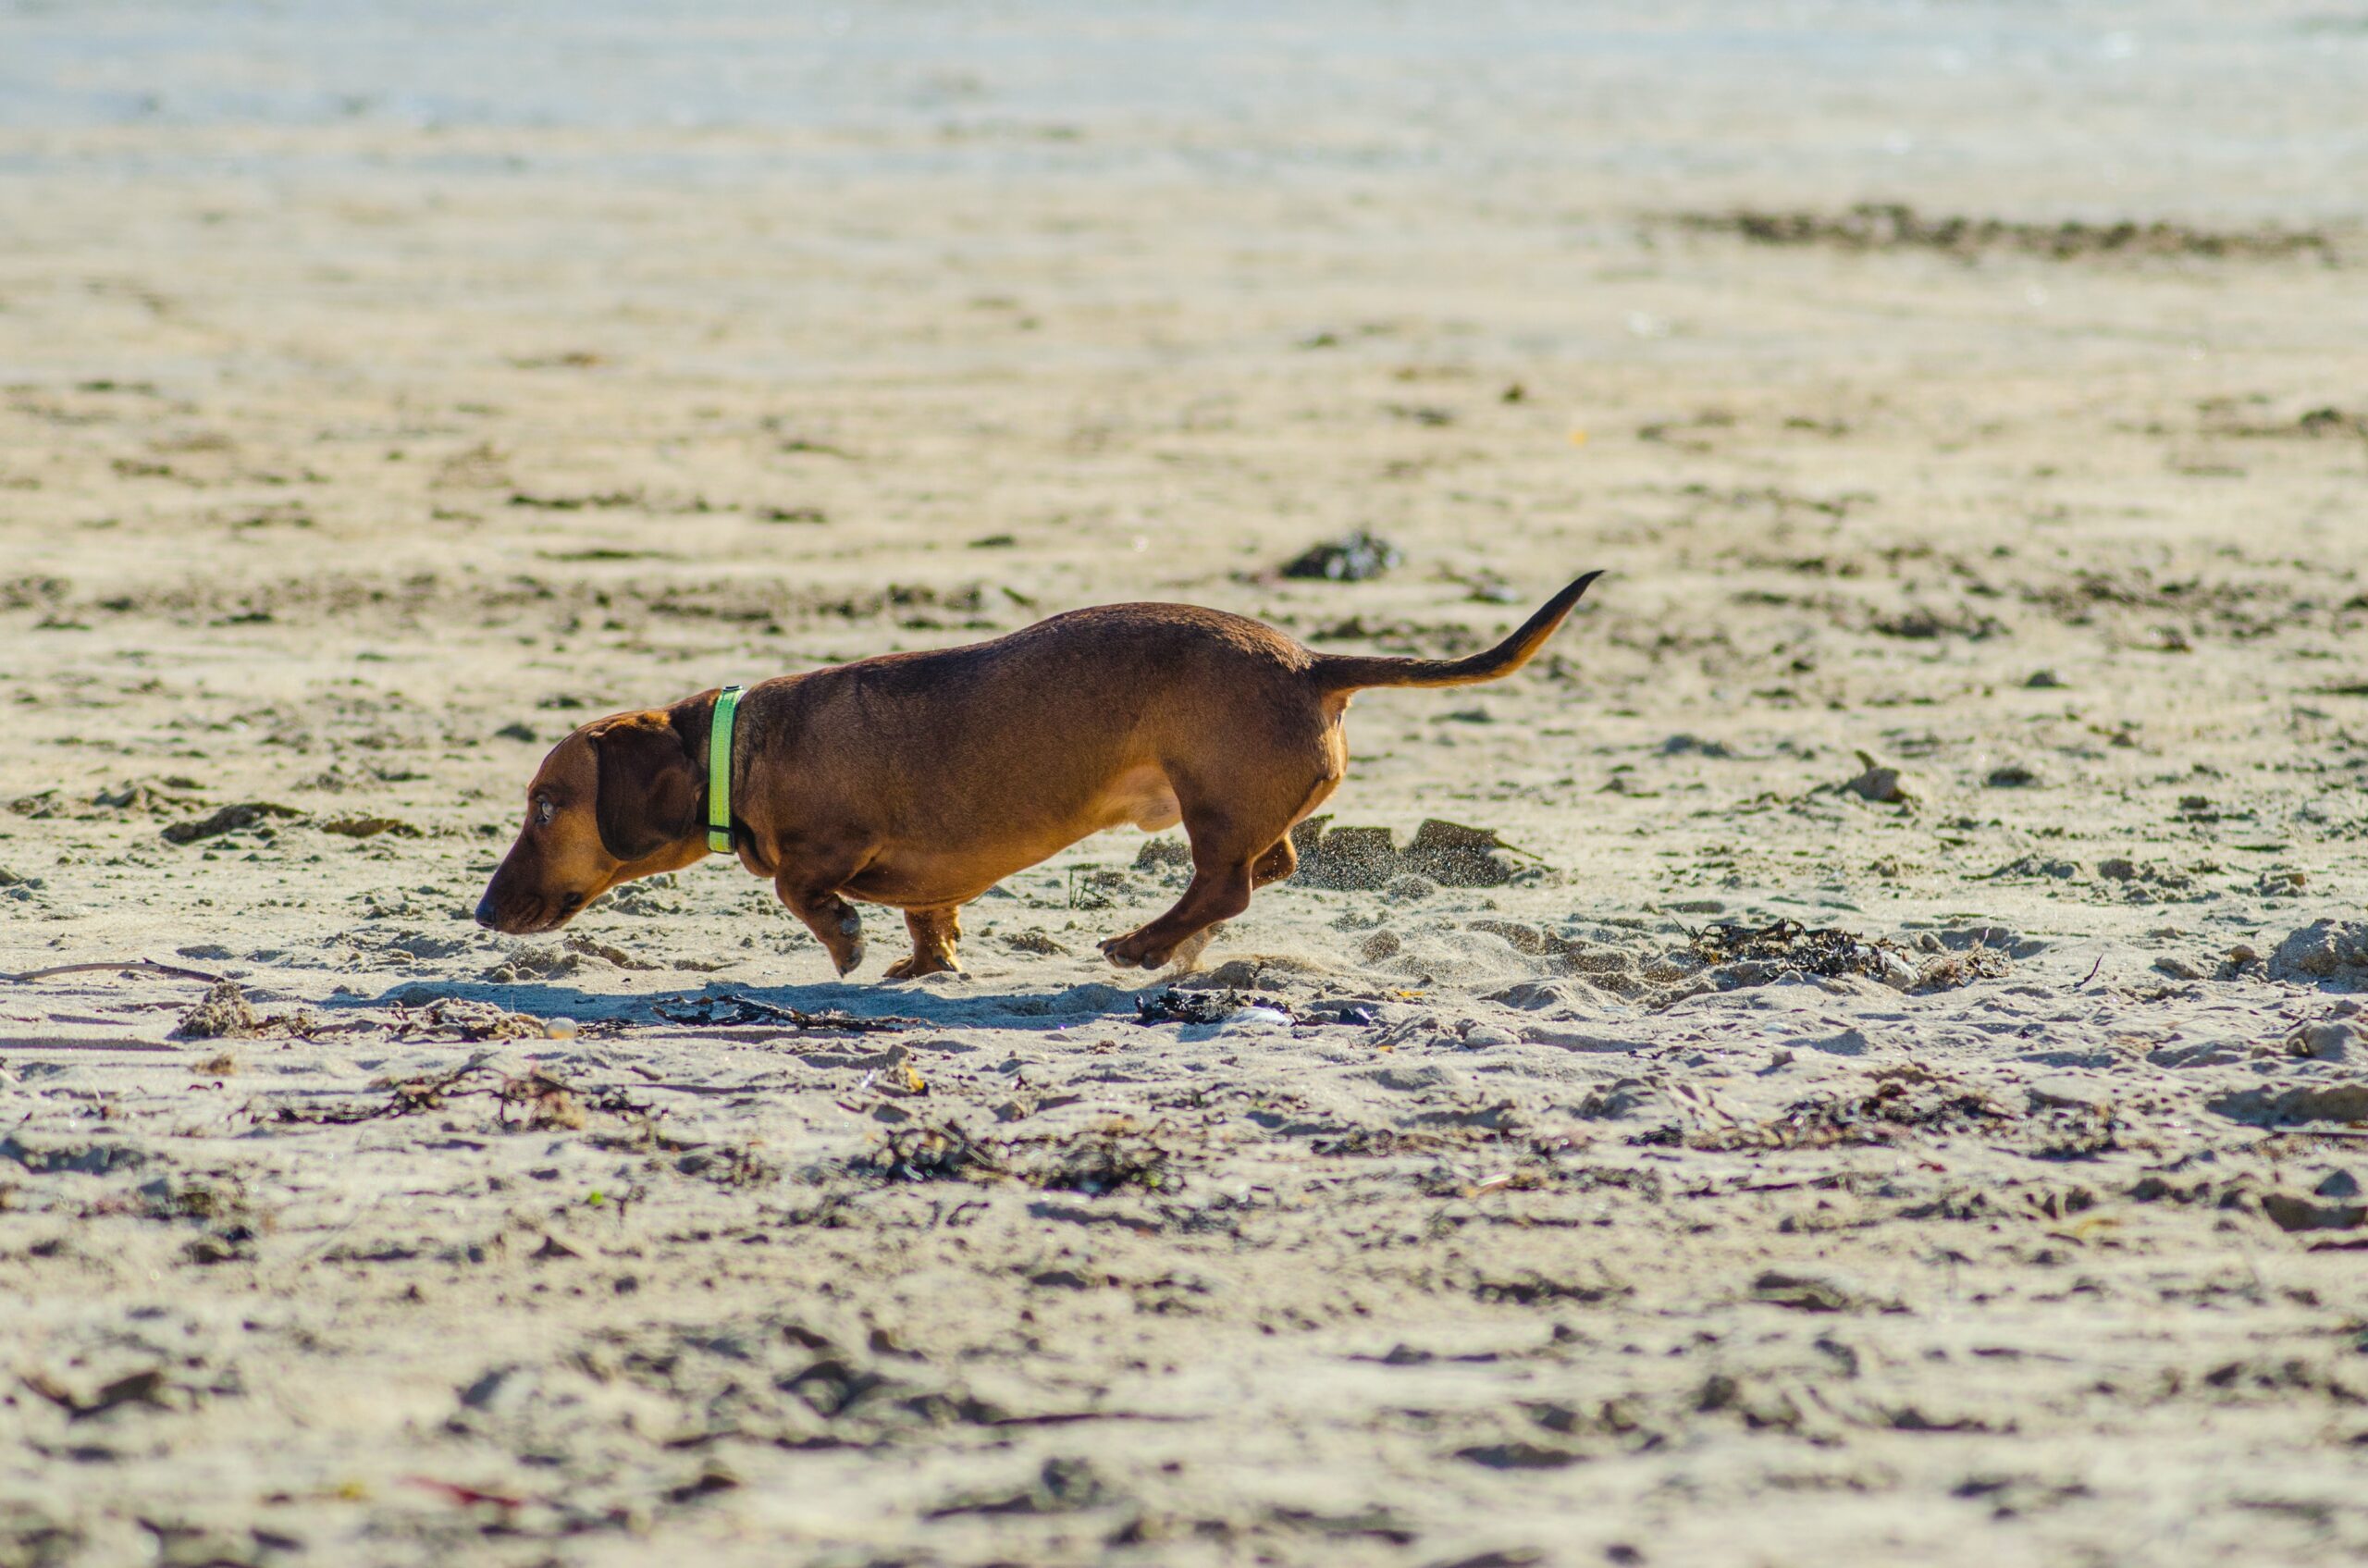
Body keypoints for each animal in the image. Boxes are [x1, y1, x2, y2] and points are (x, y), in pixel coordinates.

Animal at [474, 571, 1600, 975]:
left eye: (546, 805)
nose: (481, 912)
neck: (739, 743)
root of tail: (1312, 663)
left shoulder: (826, 844)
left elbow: (803, 888)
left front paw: (844, 941)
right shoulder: (925, 876)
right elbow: (928, 916)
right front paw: (923, 963)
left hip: (1209, 802)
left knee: (1227, 885)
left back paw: (1142, 942)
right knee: (1264, 872)